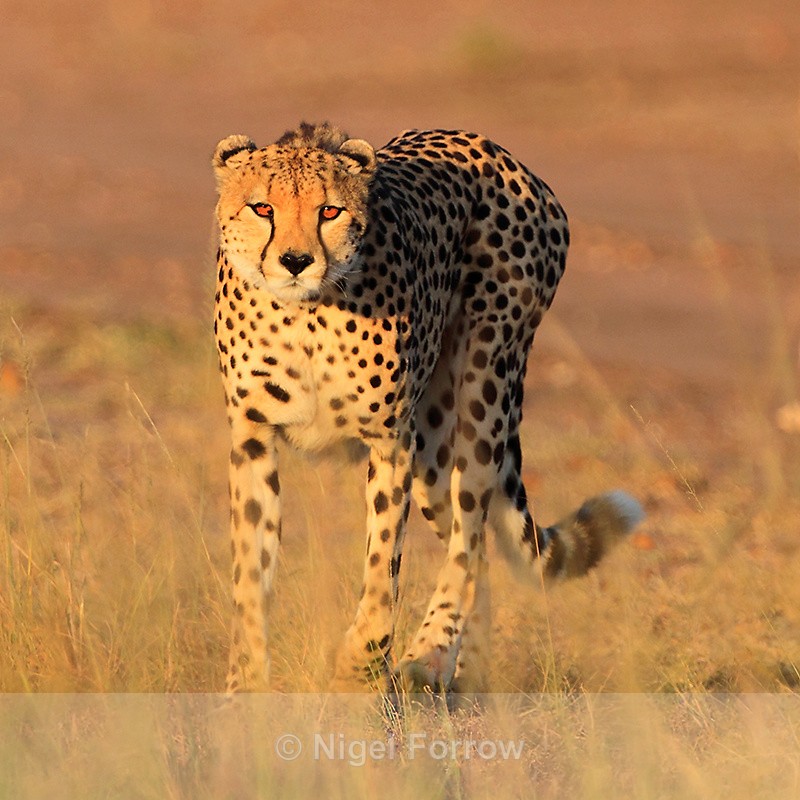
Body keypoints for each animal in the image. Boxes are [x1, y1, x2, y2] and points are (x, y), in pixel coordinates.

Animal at [211, 121, 643, 694]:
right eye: (262, 208)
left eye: (330, 211)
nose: (296, 262)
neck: (305, 315)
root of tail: (493, 148)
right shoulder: (253, 437)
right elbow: (251, 574)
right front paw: (245, 687)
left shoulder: (391, 440)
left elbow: (382, 565)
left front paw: (360, 663)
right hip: (435, 454)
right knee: (478, 552)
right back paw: (467, 673)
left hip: (484, 387)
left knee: (469, 537)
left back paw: (429, 656)